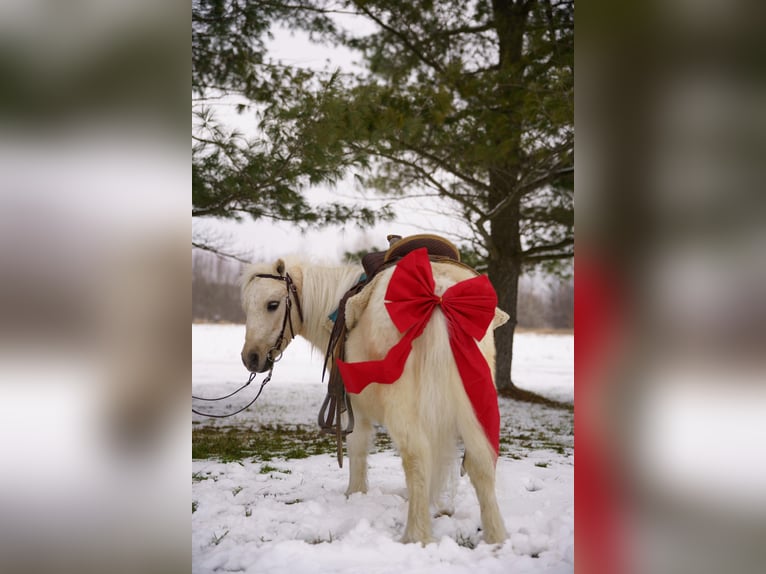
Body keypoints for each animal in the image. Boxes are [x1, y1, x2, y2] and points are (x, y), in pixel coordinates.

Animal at [240, 255, 509, 545]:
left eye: (272, 304)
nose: (250, 358)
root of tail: (438, 295)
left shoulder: (352, 407)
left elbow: (357, 448)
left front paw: (354, 494)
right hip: (474, 403)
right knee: (481, 461)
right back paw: (495, 538)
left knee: (417, 457)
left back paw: (416, 536)